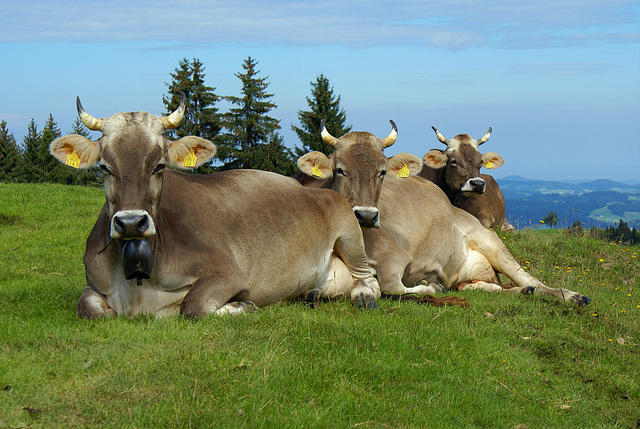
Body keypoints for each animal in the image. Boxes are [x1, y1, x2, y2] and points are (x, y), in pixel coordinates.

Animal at [52, 97, 380, 318]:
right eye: (104, 167)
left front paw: (242, 305)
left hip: (350, 232)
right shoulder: (93, 283)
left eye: (159, 165)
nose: (131, 222)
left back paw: (363, 296)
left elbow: (192, 306)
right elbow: (90, 309)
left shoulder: (228, 272)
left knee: (369, 279)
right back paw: (309, 292)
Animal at [296, 118, 592, 302]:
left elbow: (393, 287)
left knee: (530, 279)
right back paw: (523, 292)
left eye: (382, 172)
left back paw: (572, 296)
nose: (367, 215)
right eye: (340, 170)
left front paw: (428, 286)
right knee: (495, 288)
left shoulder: (396, 257)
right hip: (471, 278)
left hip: (491, 240)